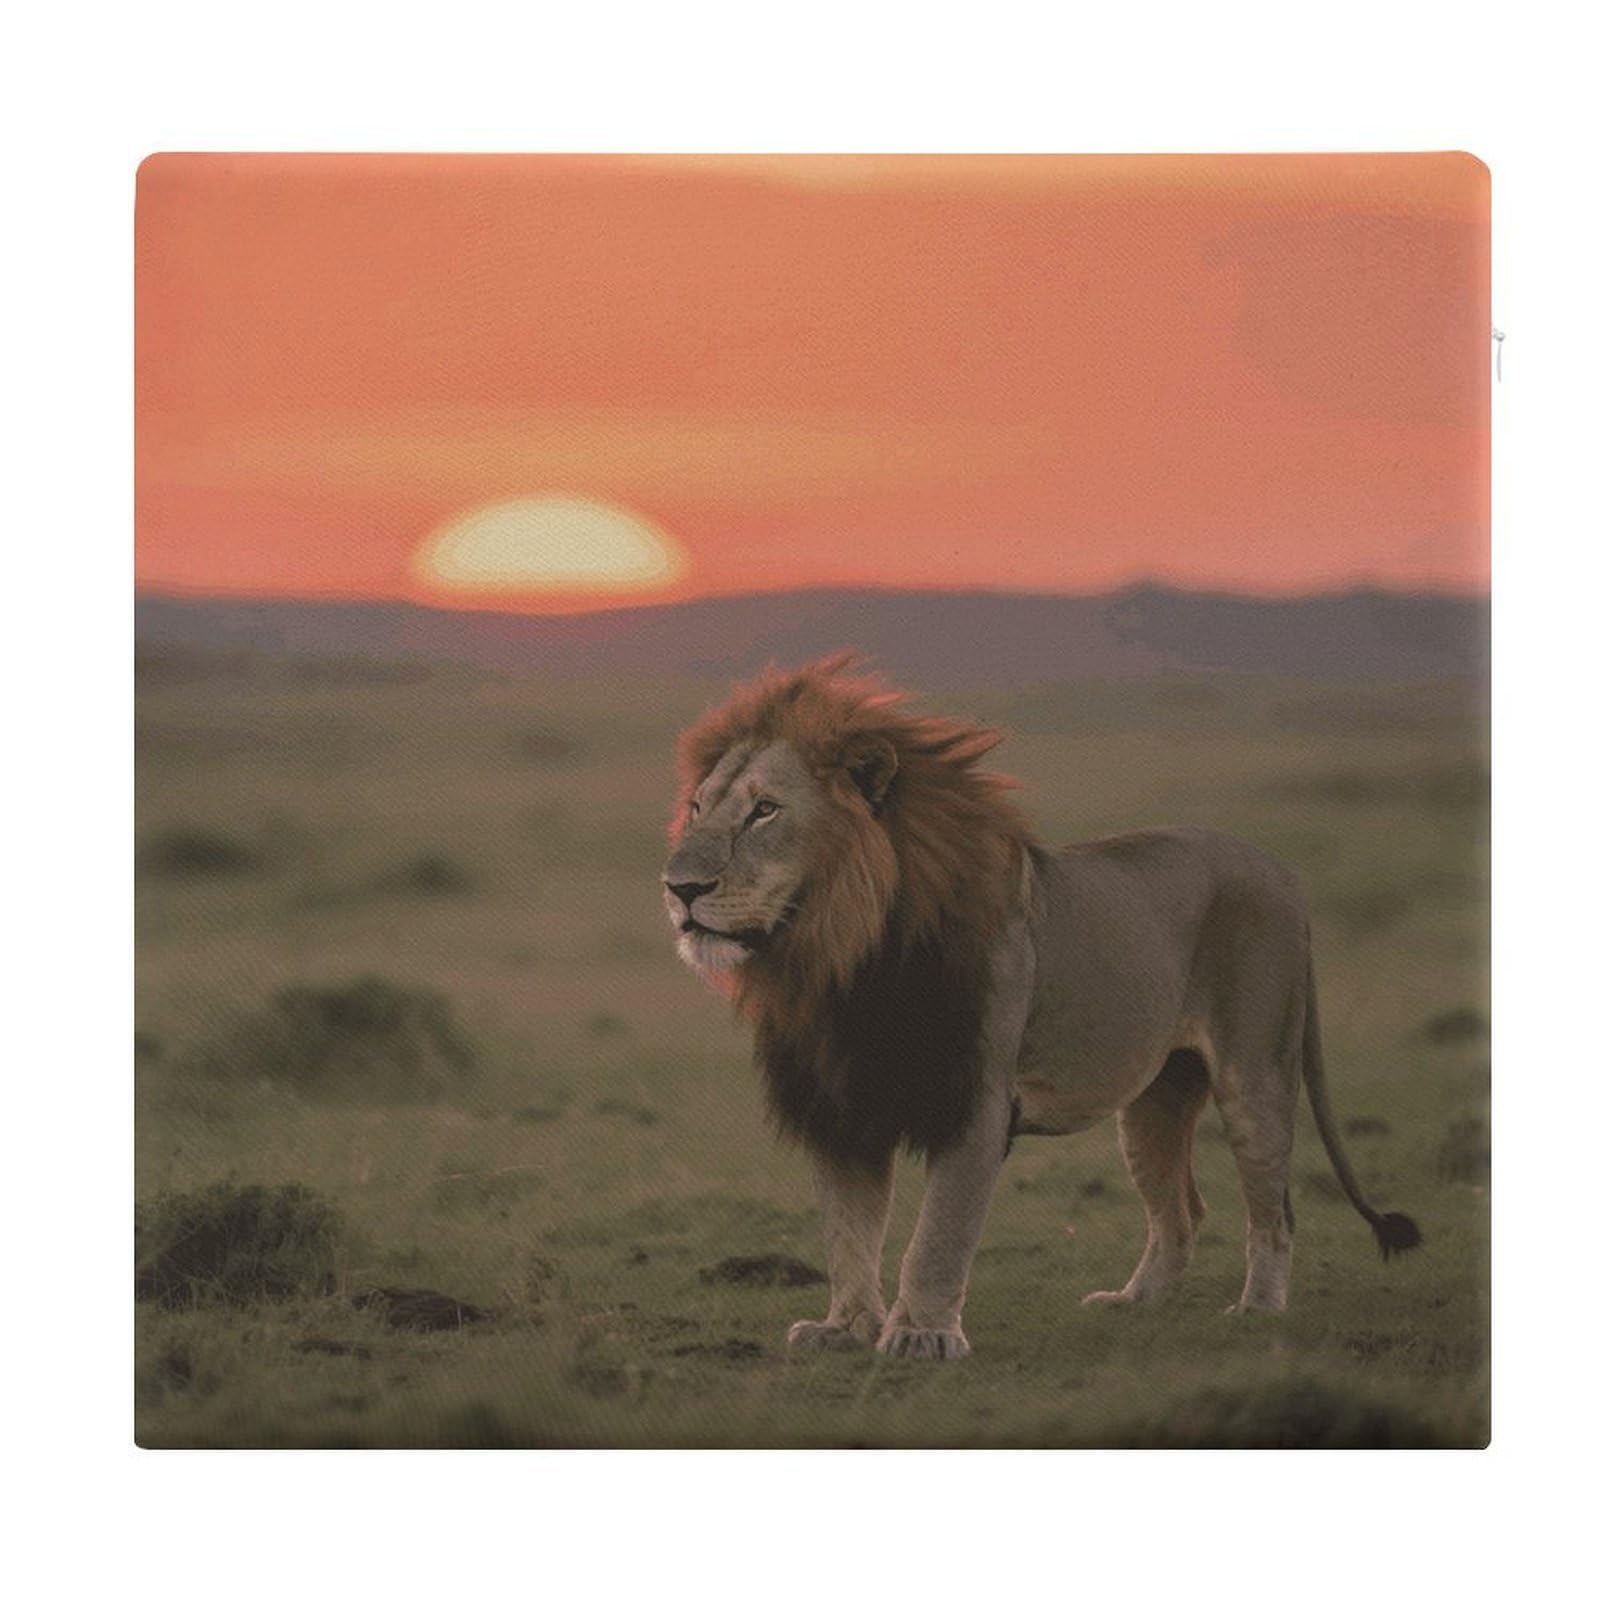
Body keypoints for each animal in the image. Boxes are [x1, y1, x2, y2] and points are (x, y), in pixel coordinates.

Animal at [662, 655, 1419, 1359]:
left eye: (765, 810)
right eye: (698, 808)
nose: (679, 887)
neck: (844, 959)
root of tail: (1285, 874)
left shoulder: (976, 1099)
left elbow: (937, 1232)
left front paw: (920, 1334)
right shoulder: (843, 1104)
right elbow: (850, 1232)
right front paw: (845, 1328)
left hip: (1255, 1074)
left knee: (1274, 1210)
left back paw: (1257, 1309)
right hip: (1154, 1099)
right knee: (1181, 1211)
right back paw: (1134, 1302)